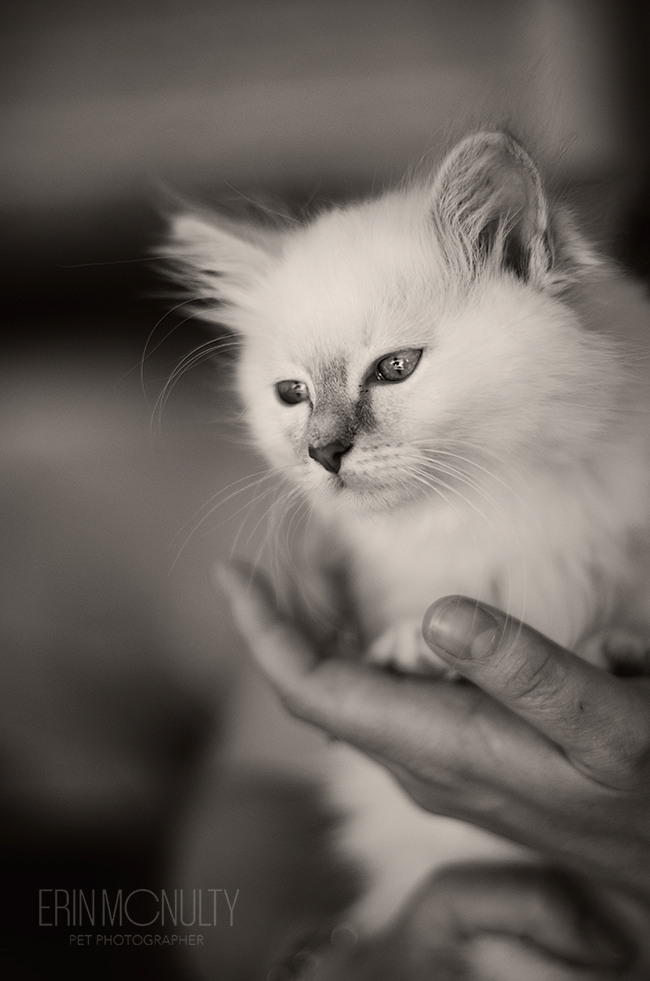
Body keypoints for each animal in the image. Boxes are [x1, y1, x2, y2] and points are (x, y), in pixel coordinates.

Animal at [165, 132, 648, 936]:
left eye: (395, 368)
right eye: (291, 395)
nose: (323, 453)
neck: (493, 501)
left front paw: (616, 644)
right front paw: (413, 648)